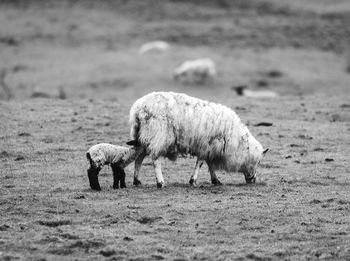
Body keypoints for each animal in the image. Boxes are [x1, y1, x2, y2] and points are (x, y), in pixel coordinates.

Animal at [129, 91, 268, 187]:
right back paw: (160, 182)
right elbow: (201, 163)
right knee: (155, 159)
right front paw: (193, 180)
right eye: (258, 161)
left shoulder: (210, 148)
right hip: (159, 136)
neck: (235, 139)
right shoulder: (206, 145)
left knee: (139, 157)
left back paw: (136, 180)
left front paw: (215, 180)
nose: (253, 180)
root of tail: (138, 108)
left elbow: (210, 164)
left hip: (144, 136)